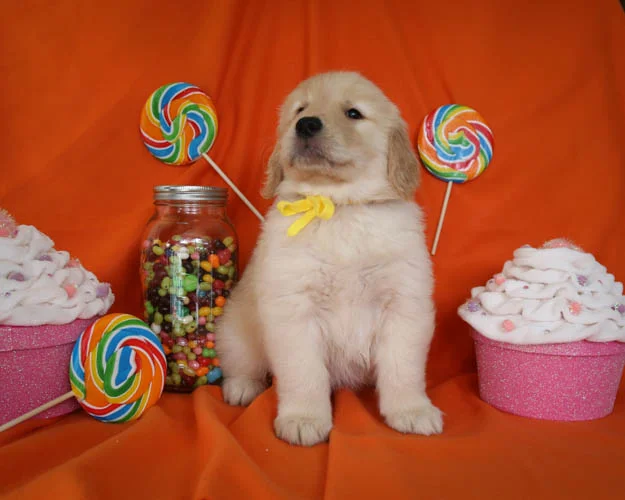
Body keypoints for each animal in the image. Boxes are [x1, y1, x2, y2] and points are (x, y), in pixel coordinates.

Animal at [216, 71, 442, 446]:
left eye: (353, 113)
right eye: (300, 109)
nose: (306, 124)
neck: (338, 206)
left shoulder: (404, 304)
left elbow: (403, 368)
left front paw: (412, 410)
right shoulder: (293, 310)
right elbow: (304, 372)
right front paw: (304, 418)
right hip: (237, 329)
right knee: (243, 362)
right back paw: (242, 386)